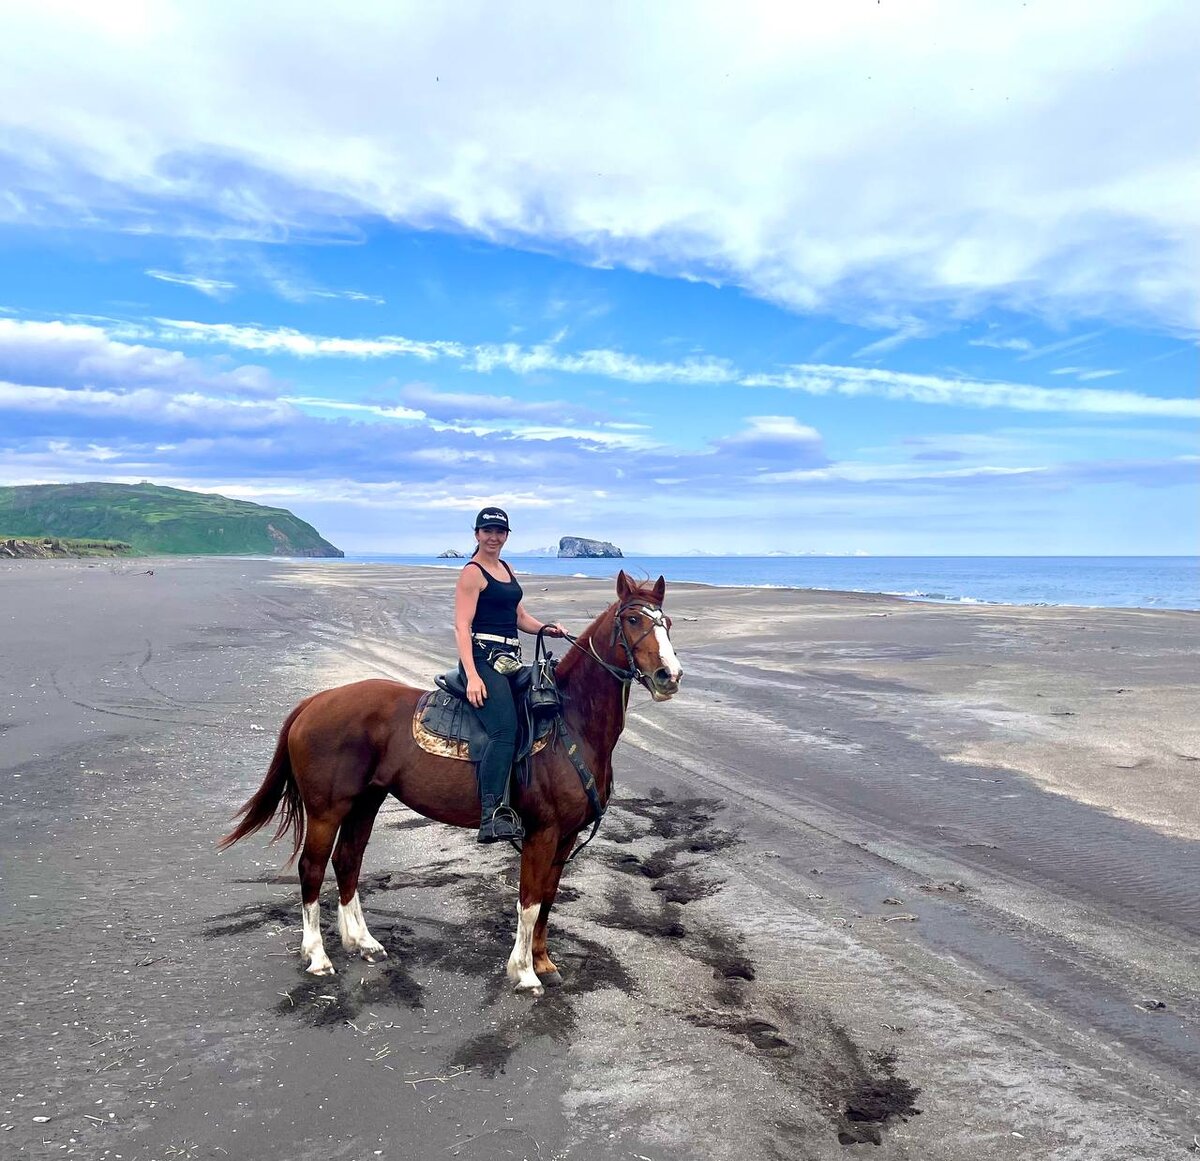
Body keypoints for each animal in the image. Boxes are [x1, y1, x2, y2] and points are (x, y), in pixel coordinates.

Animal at [219, 568, 681, 988]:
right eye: (632, 619)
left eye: (668, 623)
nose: (669, 676)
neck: (569, 719)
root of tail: (315, 701)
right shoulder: (542, 833)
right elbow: (529, 902)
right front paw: (524, 972)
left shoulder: (565, 836)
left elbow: (548, 899)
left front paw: (544, 962)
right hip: (326, 810)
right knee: (312, 868)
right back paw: (317, 955)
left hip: (365, 802)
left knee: (348, 861)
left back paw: (362, 941)